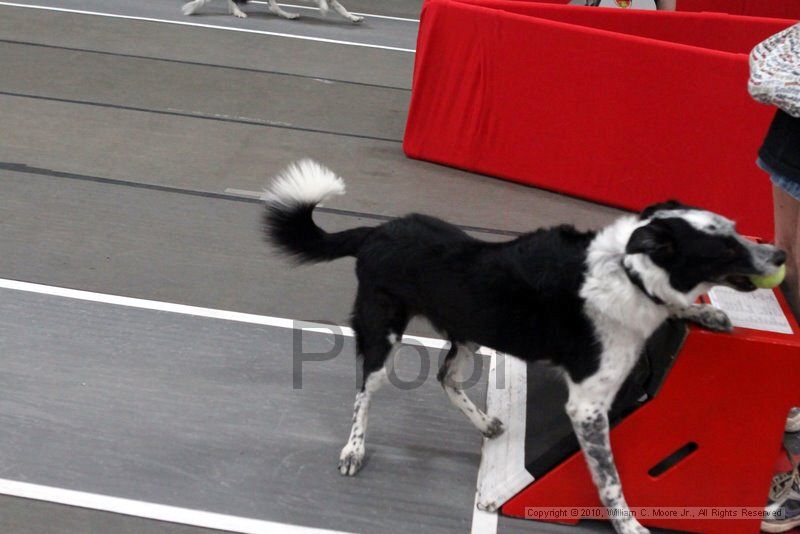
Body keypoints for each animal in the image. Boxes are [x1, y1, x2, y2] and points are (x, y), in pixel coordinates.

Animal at [264, 161, 788, 534]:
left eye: (736, 230)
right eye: (723, 248)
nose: (781, 254)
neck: (628, 270)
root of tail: (375, 231)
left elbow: (677, 305)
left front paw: (705, 313)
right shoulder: (588, 406)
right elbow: (611, 482)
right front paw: (631, 527)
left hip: (471, 330)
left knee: (445, 376)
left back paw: (486, 424)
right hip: (382, 332)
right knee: (364, 394)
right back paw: (354, 449)